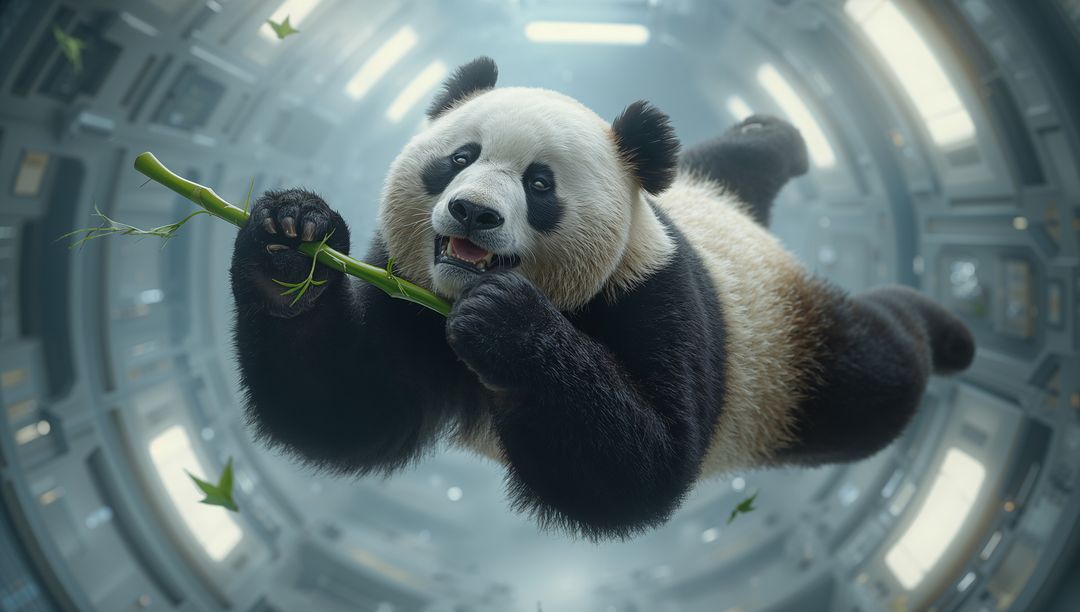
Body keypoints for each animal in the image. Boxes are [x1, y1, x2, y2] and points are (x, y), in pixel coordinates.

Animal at [229, 57, 975, 540]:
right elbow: (346, 403)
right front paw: (290, 238)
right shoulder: (407, 295)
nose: (472, 213)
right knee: (734, 159)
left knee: (881, 370)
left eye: (539, 184)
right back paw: (772, 132)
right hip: (700, 183)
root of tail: (761, 237)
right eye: (461, 157)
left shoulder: (654, 295)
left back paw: (946, 331)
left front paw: (508, 327)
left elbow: (647, 464)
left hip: (792, 366)